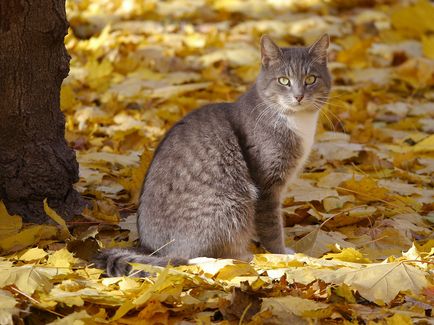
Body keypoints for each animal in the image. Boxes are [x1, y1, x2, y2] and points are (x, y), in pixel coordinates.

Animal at [95, 33, 330, 276]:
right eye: (283, 80)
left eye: (311, 79)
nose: (299, 96)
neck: (296, 121)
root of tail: (149, 249)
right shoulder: (266, 186)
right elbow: (272, 226)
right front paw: (281, 255)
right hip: (229, 206)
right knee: (193, 257)